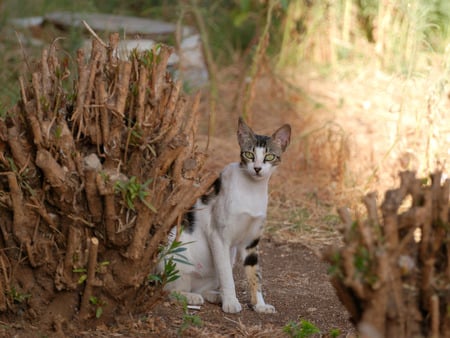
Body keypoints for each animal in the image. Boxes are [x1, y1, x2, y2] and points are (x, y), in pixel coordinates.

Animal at [162, 117, 292, 314]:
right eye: (249, 154)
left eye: (269, 156)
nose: (257, 169)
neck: (252, 190)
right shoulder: (219, 236)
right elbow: (227, 276)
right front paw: (231, 302)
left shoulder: (250, 242)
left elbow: (255, 276)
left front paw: (260, 305)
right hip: (174, 255)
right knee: (166, 289)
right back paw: (190, 296)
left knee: (203, 287)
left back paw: (214, 295)